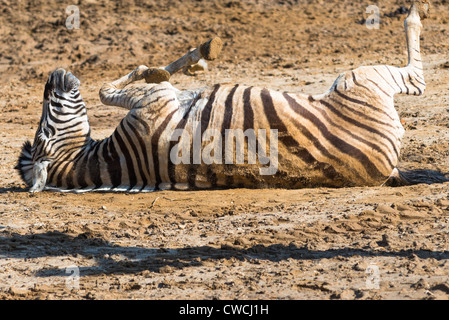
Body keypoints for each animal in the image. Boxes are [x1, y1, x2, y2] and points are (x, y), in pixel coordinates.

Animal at [14, 0, 438, 192]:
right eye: (43, 133)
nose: (55, 74)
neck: (115, 160)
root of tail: (387, 167)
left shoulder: (157, 101)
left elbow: (128, 81)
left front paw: (196, 60)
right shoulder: (152, 101)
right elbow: (110, 89)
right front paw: (175, 64)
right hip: (361, 78)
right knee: (417, 77)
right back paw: (416, 12)